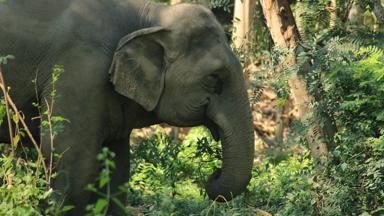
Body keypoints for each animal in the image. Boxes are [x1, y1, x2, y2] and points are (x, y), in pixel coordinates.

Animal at [0, 0, 255, 214]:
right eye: (214, 78)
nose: (213, 174)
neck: (151, 17)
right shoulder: (79, 74)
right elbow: (72, 163)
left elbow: (117, 171)